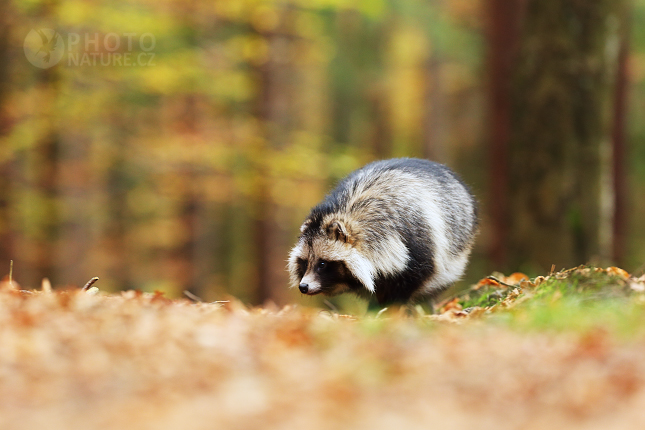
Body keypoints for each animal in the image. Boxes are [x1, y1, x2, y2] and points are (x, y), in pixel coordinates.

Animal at [286, 158, 478, 306]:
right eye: (304, 262)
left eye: (323, 264)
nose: (303, 286)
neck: (346, 211)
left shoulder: (417, 239)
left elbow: (413, 279)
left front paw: (392, 308)